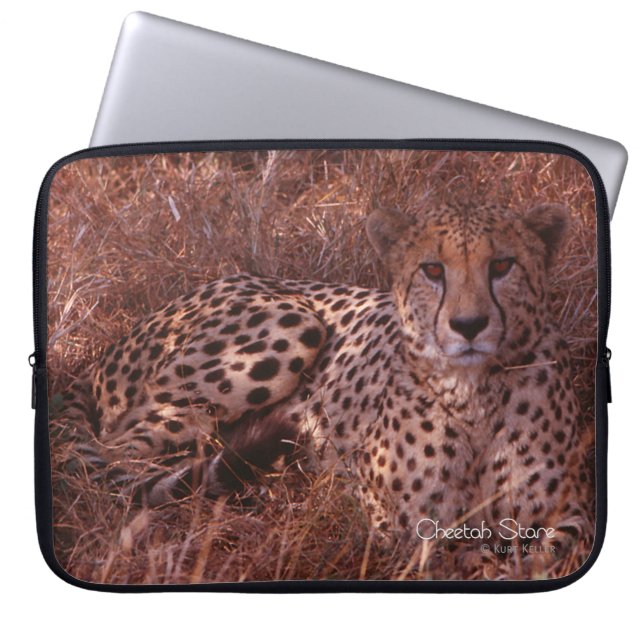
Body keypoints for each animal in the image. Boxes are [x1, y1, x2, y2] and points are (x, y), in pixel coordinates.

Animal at [56, 200, 592, 551]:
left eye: (502, 264)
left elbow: (548, 547)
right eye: (433, 270)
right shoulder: (398, 522)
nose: (469, 325)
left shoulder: (571, 512)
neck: (473, 393)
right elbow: (457, 546)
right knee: (115, 455)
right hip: (292, 325)